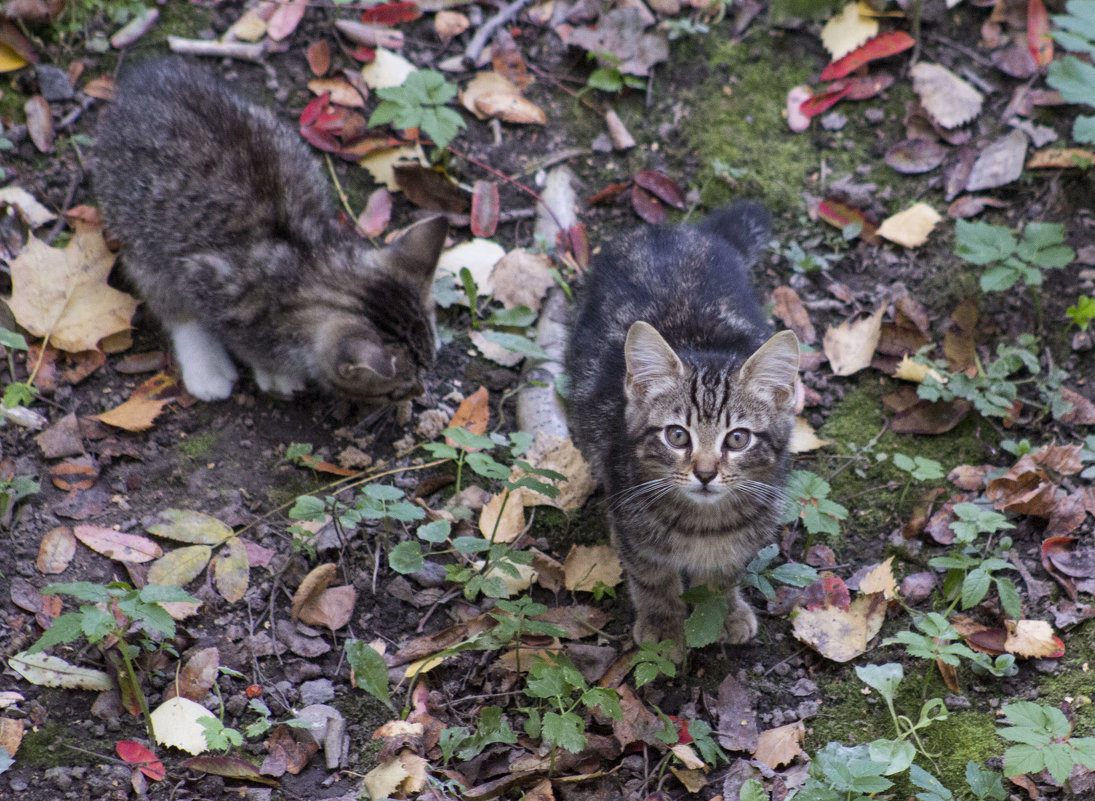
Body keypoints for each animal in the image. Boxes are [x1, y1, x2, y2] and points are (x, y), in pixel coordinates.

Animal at [93, 59, 444, 402]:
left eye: (431, 365)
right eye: (398, 391)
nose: (422, 393)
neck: (308, 260)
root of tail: (143, 82)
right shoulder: (204, 275)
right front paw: (273, 370)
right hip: (135, 225)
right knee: (163, 292)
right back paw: (206, 368)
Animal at [565, 201, 797, 656]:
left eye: (737, 439)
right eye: (677, 436)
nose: (705, 473)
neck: (703, 524)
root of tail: (675, 232)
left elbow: (721, 579)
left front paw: (725, 611)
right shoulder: (629, 526)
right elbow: (651, 578)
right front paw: (663, 626)